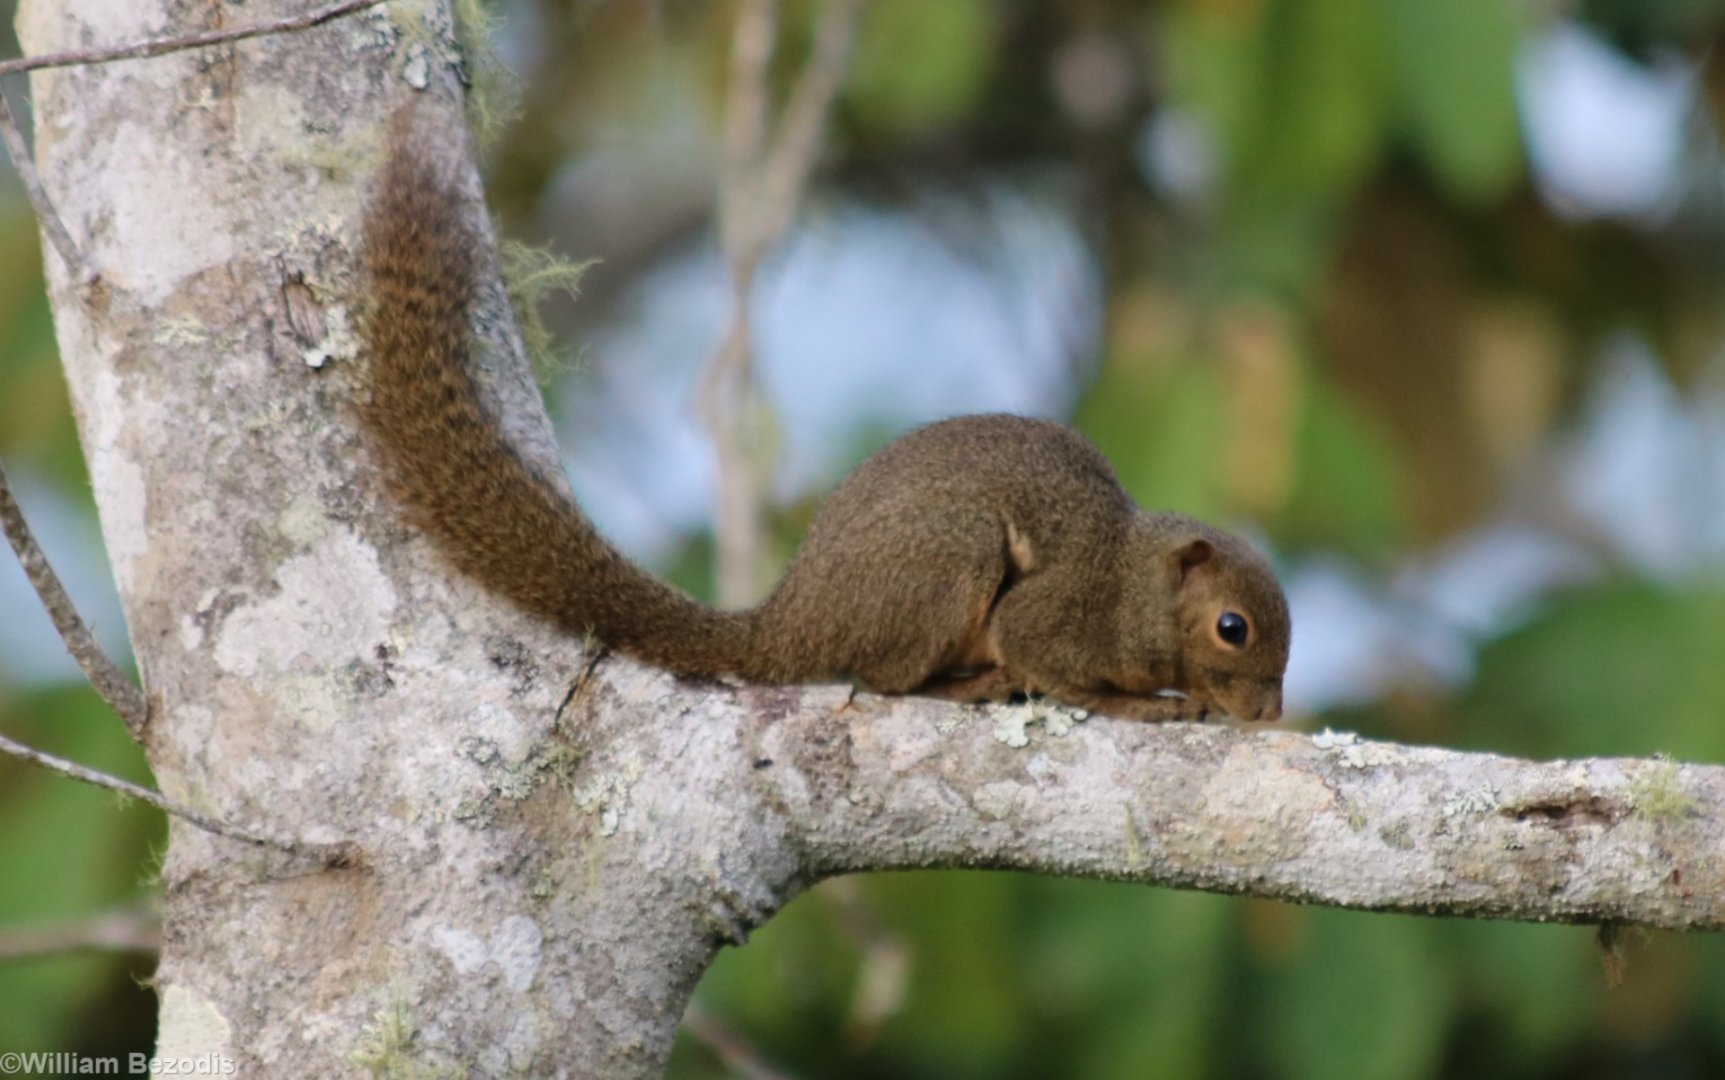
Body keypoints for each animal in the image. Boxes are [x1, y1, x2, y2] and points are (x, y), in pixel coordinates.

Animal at [358, 133, 1291, 723]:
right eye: (1231, 628)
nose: (1267, 710)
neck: (1133, 582)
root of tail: (793, 620)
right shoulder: (1062, 612)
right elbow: (1053, 664)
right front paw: (1144, 704)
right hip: (945, 559)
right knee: (883, 682)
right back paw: (964, 686)